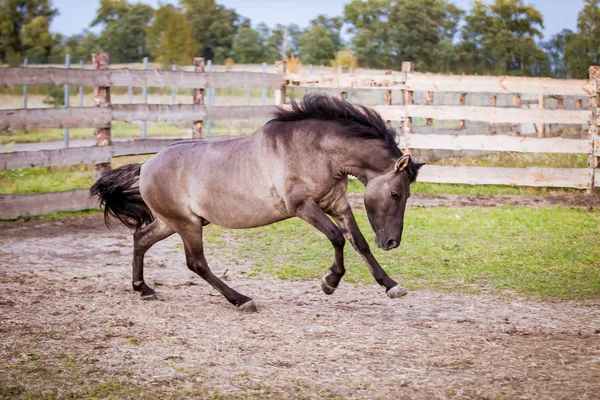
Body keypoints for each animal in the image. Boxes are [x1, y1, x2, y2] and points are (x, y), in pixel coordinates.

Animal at [91, 94, 424, 312]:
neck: (317, 150)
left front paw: (392, 286)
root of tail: (146, 166)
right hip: (186, 225)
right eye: (395, 194)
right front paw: (329, 282)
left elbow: (359, 242)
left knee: (141, 239)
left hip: (173, 222)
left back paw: (143, 289)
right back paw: (241, 300)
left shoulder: (337, 203)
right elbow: (336, 237)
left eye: (406, 195)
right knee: (196, 263)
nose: (392, 242)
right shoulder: (302, 207)